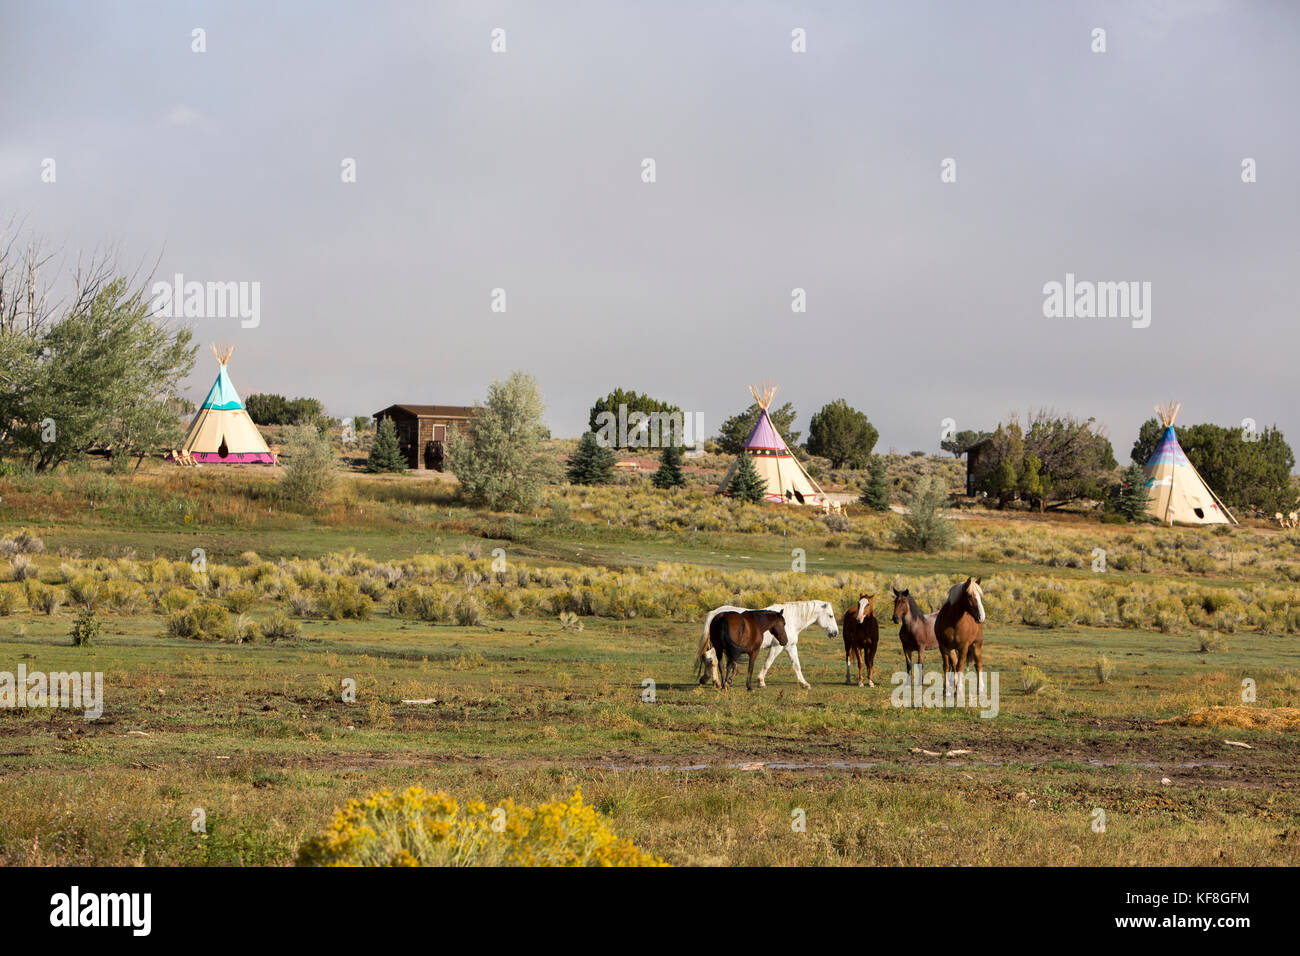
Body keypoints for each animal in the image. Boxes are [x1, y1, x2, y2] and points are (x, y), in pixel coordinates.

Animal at [696, 598, 837, 686]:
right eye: (830, 616)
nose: (835, 633)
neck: (791, 619)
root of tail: (715, 614)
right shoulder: (777, 646)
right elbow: (768, 663)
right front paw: (760, 681)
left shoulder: (790, 646)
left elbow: (796, 665)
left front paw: (804, 684)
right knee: (711, 658)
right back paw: (715, 681)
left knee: (709, 658)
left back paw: (707, 679)